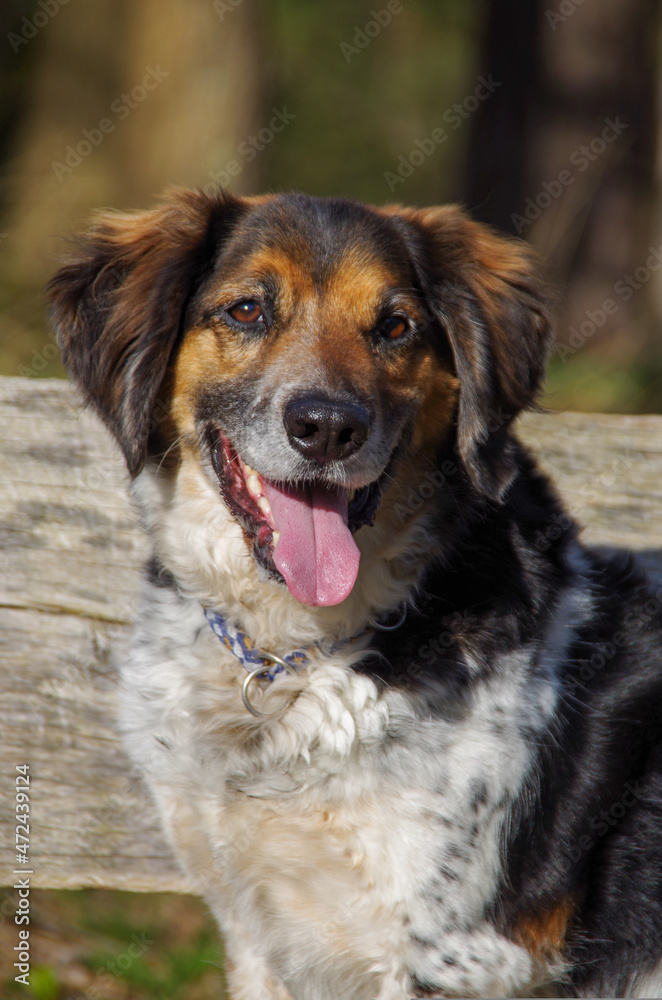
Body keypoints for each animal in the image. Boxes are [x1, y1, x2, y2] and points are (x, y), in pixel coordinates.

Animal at [49, 189, 662, 1000]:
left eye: (396, 327)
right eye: (247, 310)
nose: (328, 427)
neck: (293, 655)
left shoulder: (450, 955)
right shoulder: (253, 927)